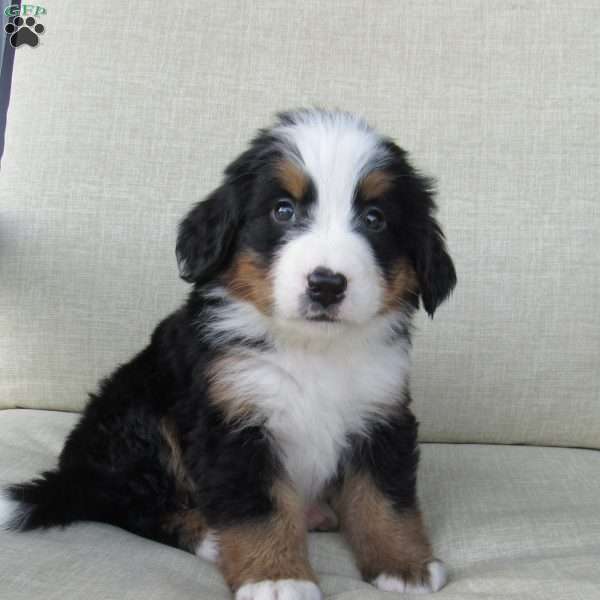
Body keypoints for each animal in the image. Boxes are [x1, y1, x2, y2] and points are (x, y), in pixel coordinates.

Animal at [2, 109, 458, 600]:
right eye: (283, 210)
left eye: (375, 219)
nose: (327, 284)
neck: (312, 348)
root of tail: (76, 478)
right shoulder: (232, 420)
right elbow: (257, 508)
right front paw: (277, 576)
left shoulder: (381, 413)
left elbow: (384, 498)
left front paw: (403, 566)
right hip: (137, 416)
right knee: (133, 506)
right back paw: (208, 536)